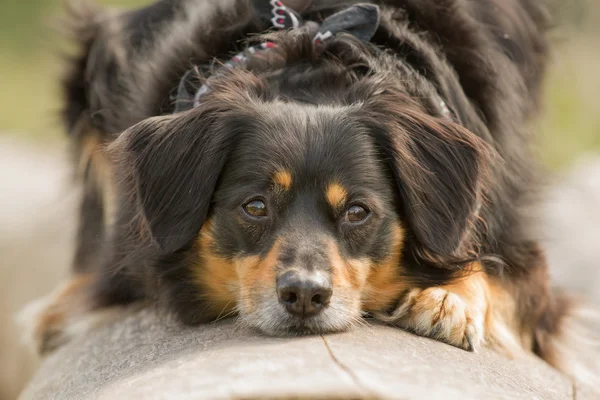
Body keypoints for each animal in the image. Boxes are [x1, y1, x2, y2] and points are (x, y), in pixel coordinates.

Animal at [30, 0, 596, 382]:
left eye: (358, 212)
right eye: (255, 206)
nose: (304, 295)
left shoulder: (512, 244)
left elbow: (492, 271)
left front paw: (448, 300)